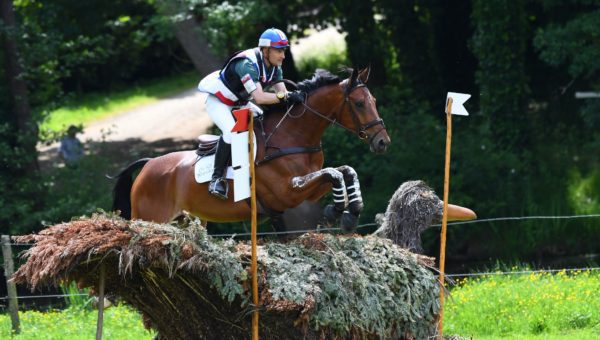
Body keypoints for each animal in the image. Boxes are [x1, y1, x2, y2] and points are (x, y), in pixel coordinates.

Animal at [112, 67, 392, 231]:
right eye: (358, 103)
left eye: (373, 100)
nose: (383, 142)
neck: (293, 135)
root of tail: (148, 165)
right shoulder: (286, 192)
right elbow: (333, 173)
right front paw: (337, 211)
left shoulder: (309, 192)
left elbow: (344, 170)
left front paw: (351, 212)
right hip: (150, 218)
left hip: (188, 220)